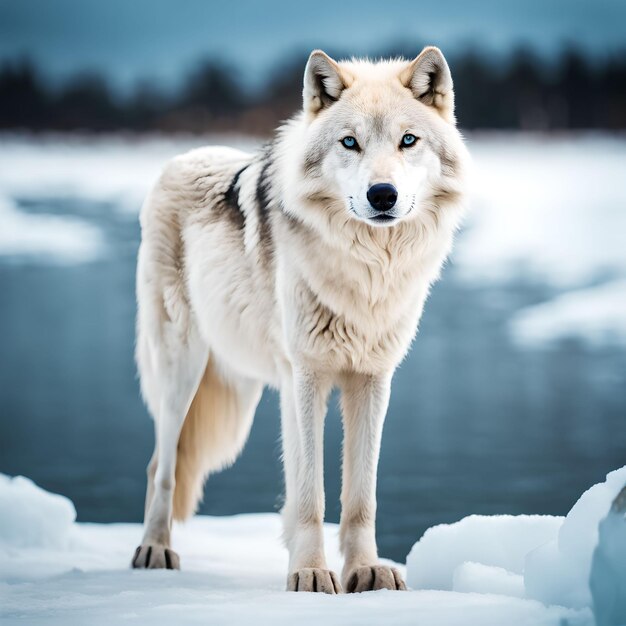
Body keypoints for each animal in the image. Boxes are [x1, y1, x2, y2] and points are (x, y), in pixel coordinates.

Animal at [132, 45, 468, 588]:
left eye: (408, 140)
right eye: (350, 142)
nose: (382, 195)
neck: (368, 272)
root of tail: (184, 156)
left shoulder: (372, 379)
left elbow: (360, 495)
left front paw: (367, 571)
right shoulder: (308, 376)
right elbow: (312, 493)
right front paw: (310, 573)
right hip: (182, 370)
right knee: (161, 465)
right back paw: (154, 549)